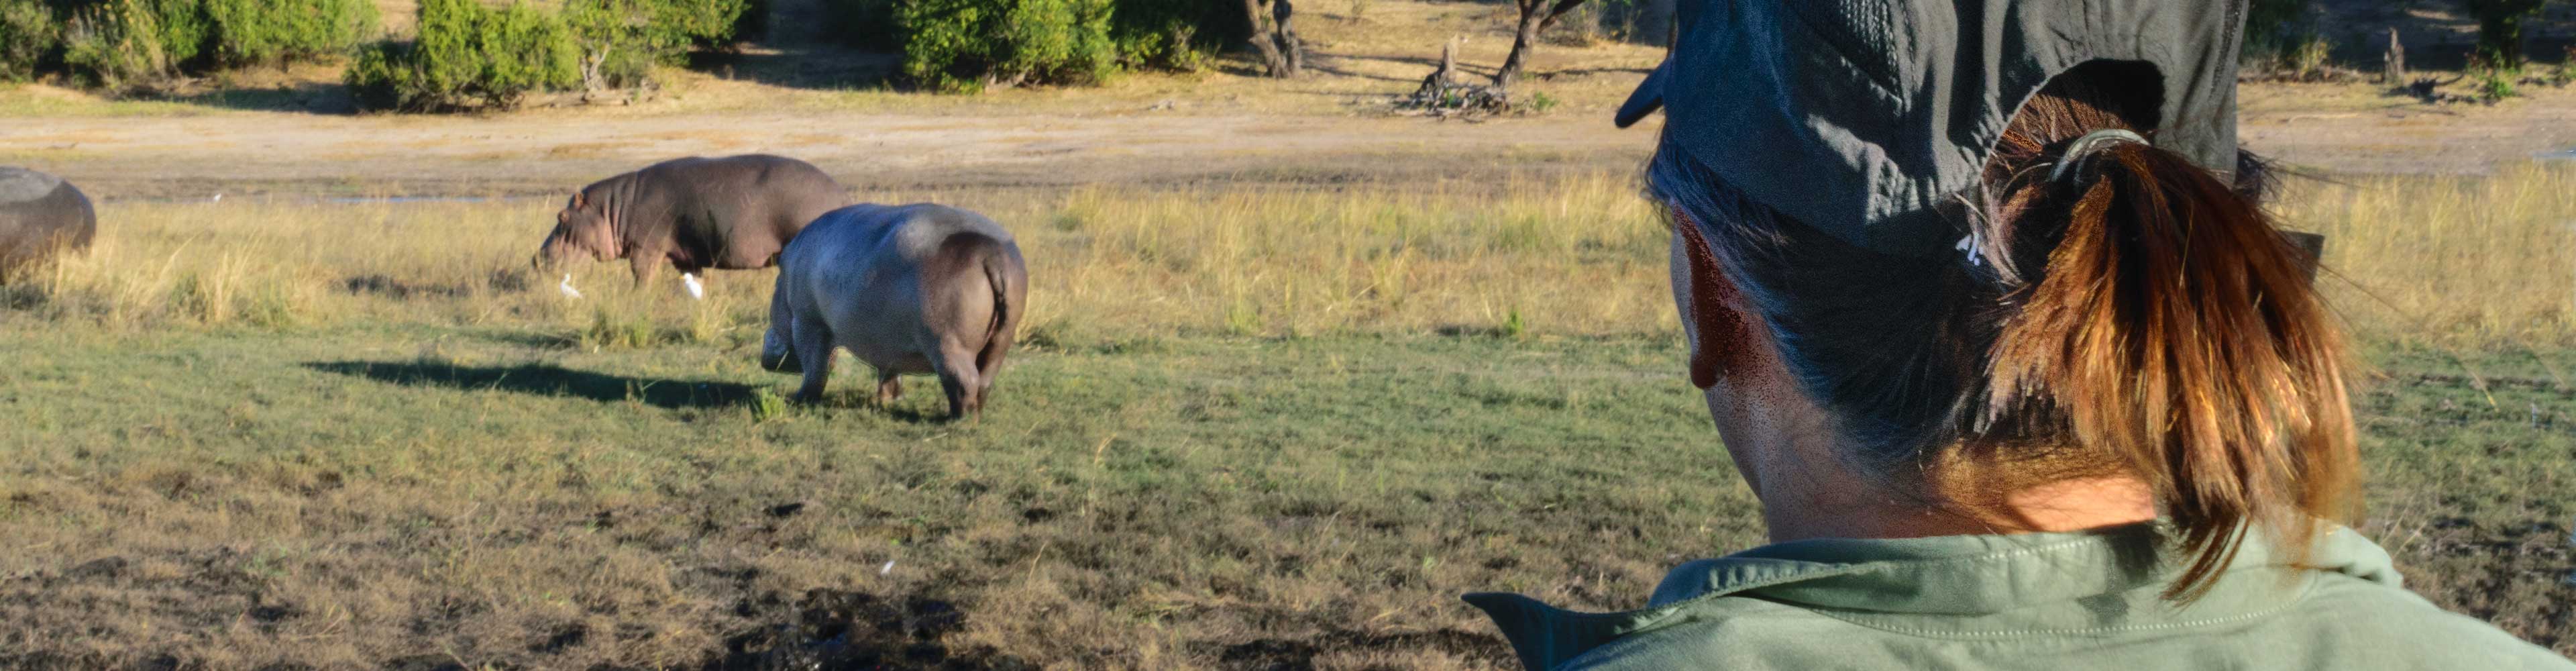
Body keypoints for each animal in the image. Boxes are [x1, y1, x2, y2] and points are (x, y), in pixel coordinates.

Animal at [533, 154, 850, 293]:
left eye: (561, 217)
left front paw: (638, 297)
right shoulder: (689, 258)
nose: (536, 258)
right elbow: (695, 281)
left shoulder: (644, 249)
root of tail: (842, 194)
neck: (612, 209)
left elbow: (641, 278)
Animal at [759, 203, 1028, 419]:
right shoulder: (888, 342)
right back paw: (973, 415)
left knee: (964, 380)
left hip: (949, 344)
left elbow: (815, 368)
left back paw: (956, 420)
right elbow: (889, 370)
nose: (763, 356)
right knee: (985, 381)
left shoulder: (808, 323)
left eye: (774, 285)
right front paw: (890, 399)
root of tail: (991, 252)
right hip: (1001, 341)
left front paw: (800, 400)